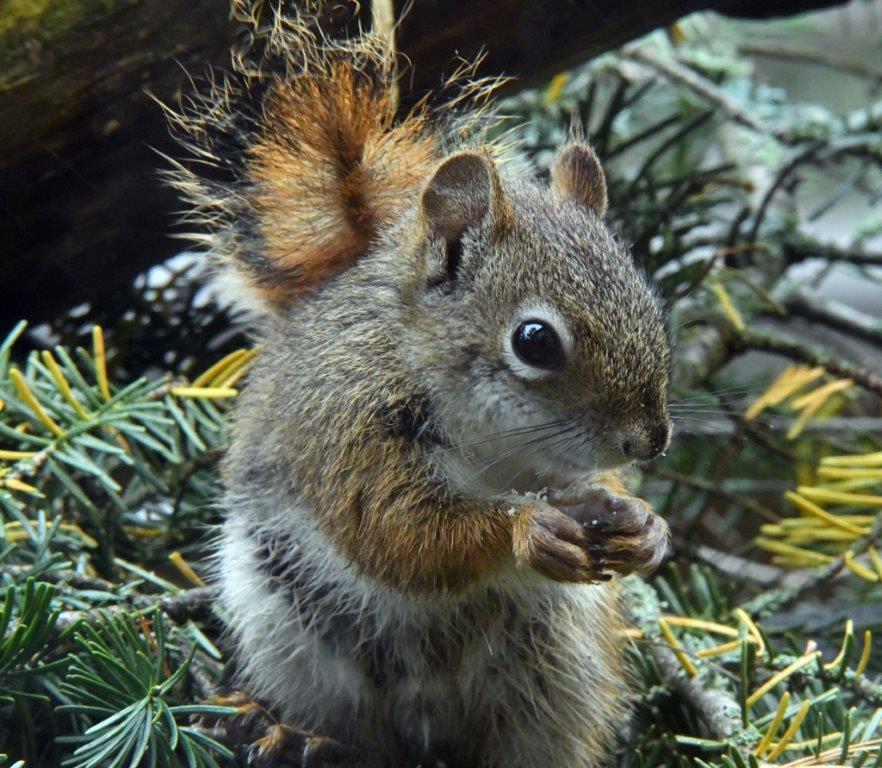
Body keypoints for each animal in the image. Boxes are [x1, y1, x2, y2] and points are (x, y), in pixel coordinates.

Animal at [167, 4, 673, 767]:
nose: (650, 441)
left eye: (650, 302)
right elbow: (397, 532)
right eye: (535, 341)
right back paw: (293, 734)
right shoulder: (348, 428)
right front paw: (525, 529)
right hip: (296, 638)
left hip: (554, 667)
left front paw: (642, 525)